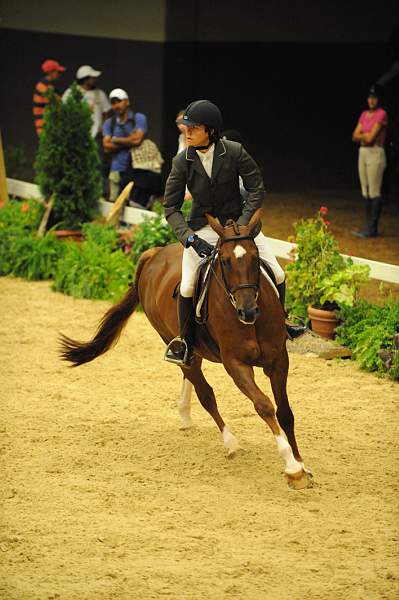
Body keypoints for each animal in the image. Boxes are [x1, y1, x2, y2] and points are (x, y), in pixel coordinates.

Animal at [61, 209, 314, 490]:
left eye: (255, 257)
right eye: (225, 261)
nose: (248, 312)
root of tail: (154, 254)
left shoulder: (279, 360)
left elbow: (286, 412)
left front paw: (301, 464)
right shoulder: (236, 365)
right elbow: (264, 406)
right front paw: (292, 468)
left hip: (196, 348)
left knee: (192, 371)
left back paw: (184, 412)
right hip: (170, 337)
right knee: (204, 392)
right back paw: (230, 443)